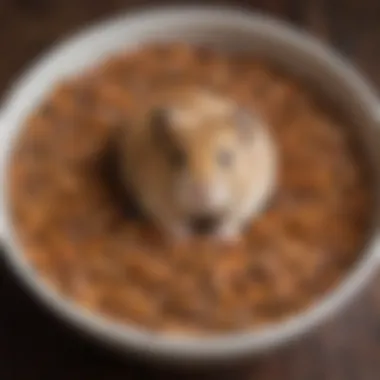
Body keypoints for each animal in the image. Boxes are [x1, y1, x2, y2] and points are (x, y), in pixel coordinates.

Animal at [117, 88, 278, 240]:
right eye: (178, 158)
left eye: (226, 158)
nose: (199, 192)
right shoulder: (156, 199)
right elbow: (174, 222)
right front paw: (185, 237)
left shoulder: (247, 200)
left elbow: (229, 221)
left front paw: (220, 238)